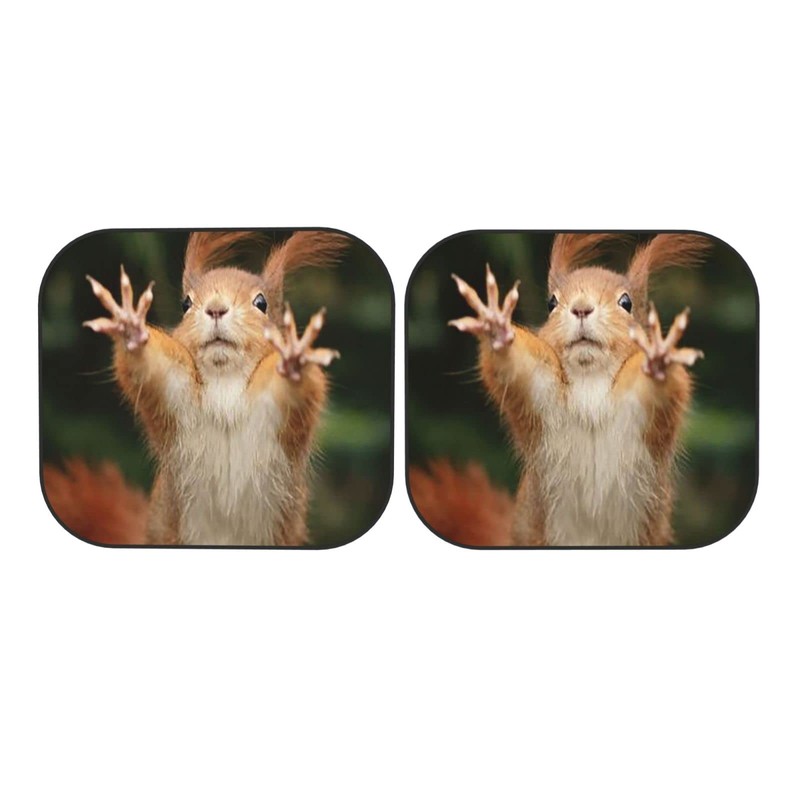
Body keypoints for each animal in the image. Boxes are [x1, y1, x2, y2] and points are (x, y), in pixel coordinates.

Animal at [44, 230, 348, 546]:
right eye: (185, 304)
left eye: (261, 303)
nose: (215, 308)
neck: (224, 382)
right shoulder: (175, 388)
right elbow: (152, 368)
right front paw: (131, 329)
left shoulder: (273, 406)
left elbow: (297, 390)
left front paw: (294, 360)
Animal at [410, 233, 712, 547]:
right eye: (551, 303)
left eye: (626, 302)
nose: (581, 307)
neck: (590, 381)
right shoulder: (540, 387)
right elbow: (516, 366)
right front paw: (496, 327)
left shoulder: (639, 405)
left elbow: (660, 389)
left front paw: (659, 358)